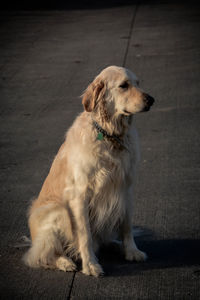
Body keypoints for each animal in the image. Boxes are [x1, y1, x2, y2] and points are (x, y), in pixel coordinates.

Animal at [23, 65, 155, 276]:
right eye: (123, 85)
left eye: (138, 83)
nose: (151, 99)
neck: (110, 136)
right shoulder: (79, 195)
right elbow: (85, 235)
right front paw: (91, 265)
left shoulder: (126, 188)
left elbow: (127, 225)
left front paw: (132, 251)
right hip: (57, 210)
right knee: (41, 255)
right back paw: (64, 262)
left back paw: (115, 245)